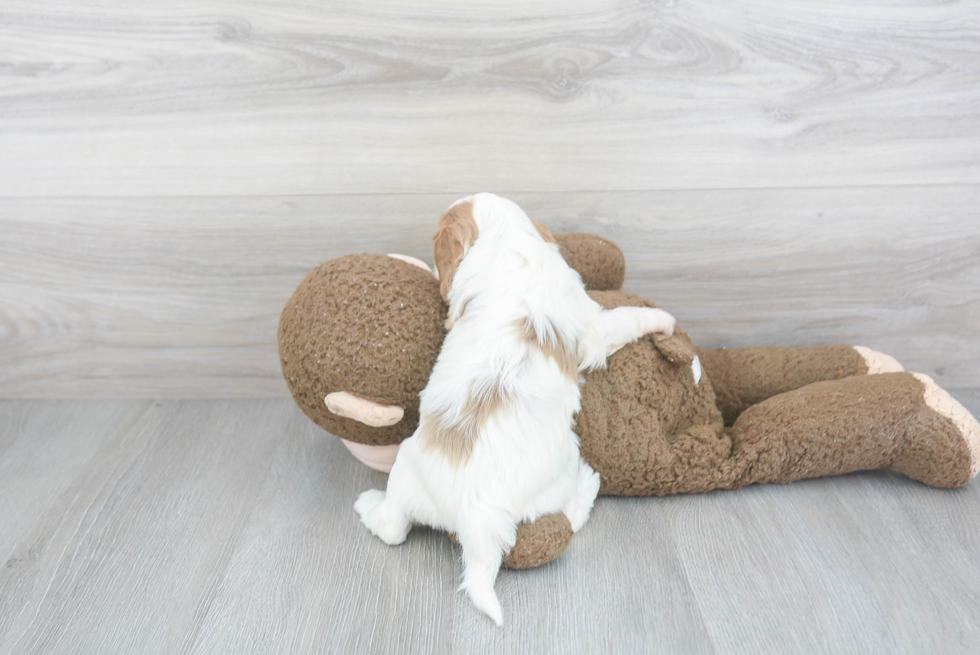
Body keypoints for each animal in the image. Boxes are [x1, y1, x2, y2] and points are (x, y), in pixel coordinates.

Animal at [356, 193, 676, 624]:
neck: (504, 238)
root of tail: (476, 518)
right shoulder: (592, 326)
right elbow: (625, 319)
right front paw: (663, 319)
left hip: (406, 470)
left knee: (392, 528)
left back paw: (367, 506)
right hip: (562, 468)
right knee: (569, 516)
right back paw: (588, 486)